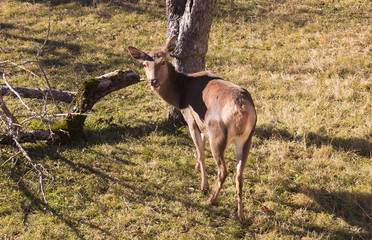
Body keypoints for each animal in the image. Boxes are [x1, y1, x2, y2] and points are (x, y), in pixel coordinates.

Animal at [128, 36, 256, 220]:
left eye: (163, 62)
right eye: (144, 64)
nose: (153, 81)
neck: (180, 94)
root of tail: (241, 111)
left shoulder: (190, 118)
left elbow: (200, 152)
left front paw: (203, 185)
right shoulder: (201, 124)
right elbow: (201, 146)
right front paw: (196, 168)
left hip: (217, 134)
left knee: (223, 170)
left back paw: (211, 199)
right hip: (247, 138)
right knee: (240, 174)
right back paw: (240, 214)